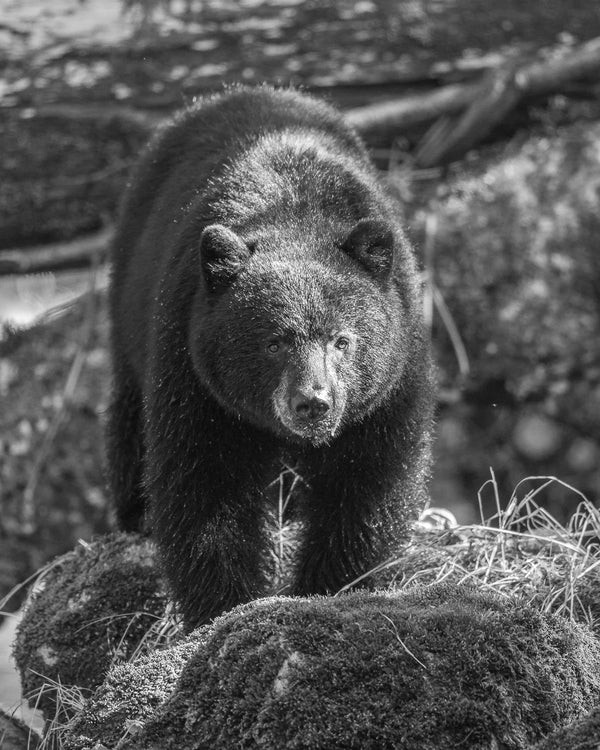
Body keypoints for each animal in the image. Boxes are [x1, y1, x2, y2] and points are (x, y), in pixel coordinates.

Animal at [108, 85, 434, 632]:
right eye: (275, 341)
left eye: (342, 340)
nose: (313, 402)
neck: (296, 216)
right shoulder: (193, 370)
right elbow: (204, 486)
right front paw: (225, 608)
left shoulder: (394, 378)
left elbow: (368, 483)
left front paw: (326, 589)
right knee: (129, 411)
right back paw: (133, 514)